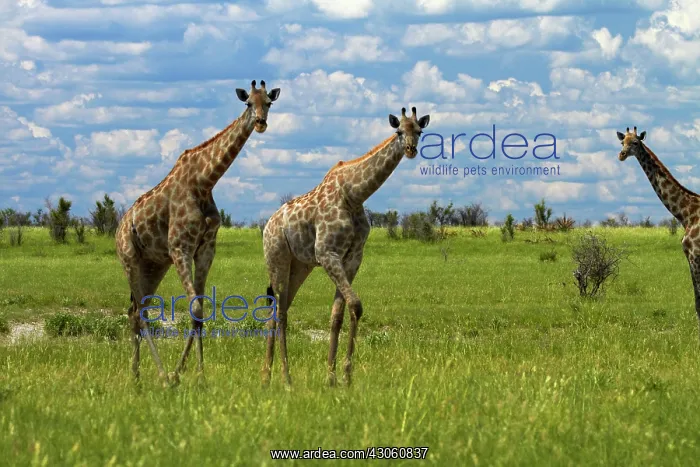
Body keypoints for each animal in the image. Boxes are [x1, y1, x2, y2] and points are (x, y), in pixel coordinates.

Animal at [115, 80, 281, 385]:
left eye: (269, 103)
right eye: (248, 103)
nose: (261, 123)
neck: (204, 182)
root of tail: (119, 227)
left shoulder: (205, 248)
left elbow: (202, 310)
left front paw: (200, 375)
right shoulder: (180, 247)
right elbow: (194, 308)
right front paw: (177, 373)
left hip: (153, 265)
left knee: (135, 310)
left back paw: (136, 375)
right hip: (129, 259)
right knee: (140, 313)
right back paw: (161, 375)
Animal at [261, 106, 430, 387]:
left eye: (419, 131)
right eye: (398, 130)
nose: (410, 149)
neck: (353, 195)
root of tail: (267, 226)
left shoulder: (352, 258)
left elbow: (339, 314)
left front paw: (335, 376)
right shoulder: (327, 253)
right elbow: (355, 305)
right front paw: (344, 374)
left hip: (300, 266)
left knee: (280, 308)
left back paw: (268, 376)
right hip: (277, 259)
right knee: (280, 312)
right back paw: (284, 378)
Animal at [617, 126, 700, 339]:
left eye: (635, 143)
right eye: (622, 142)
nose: (621, 155)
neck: (686, 214)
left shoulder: (695, 254)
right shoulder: (689, 256)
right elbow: (697, 298)